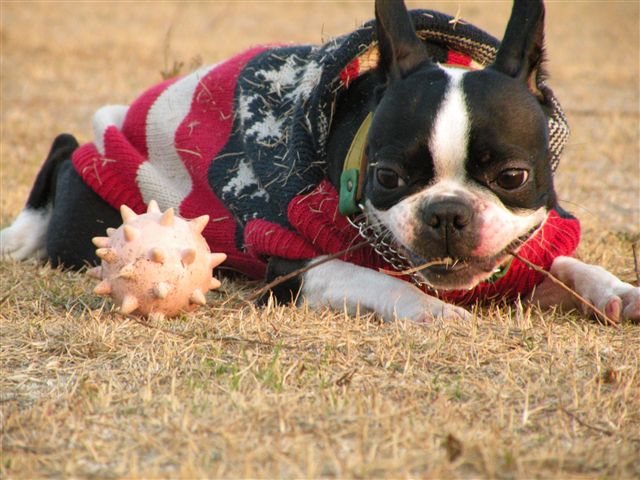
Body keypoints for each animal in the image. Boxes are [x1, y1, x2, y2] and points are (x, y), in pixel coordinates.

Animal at [1, 0, 639, 323]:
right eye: (387, 177)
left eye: (512, 177)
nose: (448, 213)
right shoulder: (293, 262)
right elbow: (378, 281)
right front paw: (433, 312)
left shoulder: (524, 257)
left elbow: (565, 266)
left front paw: (616, 289)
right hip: (85, 225)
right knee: (61, 155)